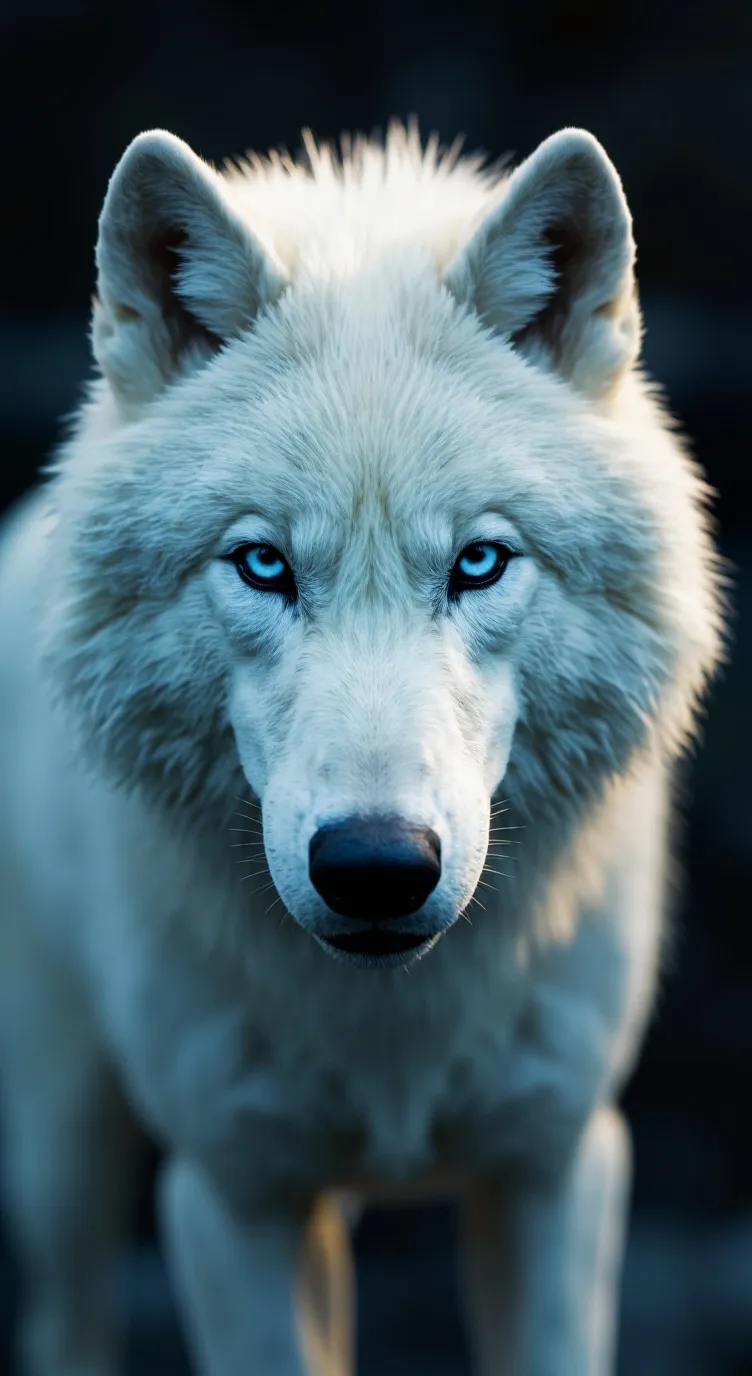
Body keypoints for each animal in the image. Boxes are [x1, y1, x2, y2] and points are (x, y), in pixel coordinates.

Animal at [0, 121, 722, 1376]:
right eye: (263, 564)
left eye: (478, 562)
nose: (375, 865)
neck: (392, 1028)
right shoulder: (228, 1192)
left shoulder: (557, 1164)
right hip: (65, 1144)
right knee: (68, 1314)